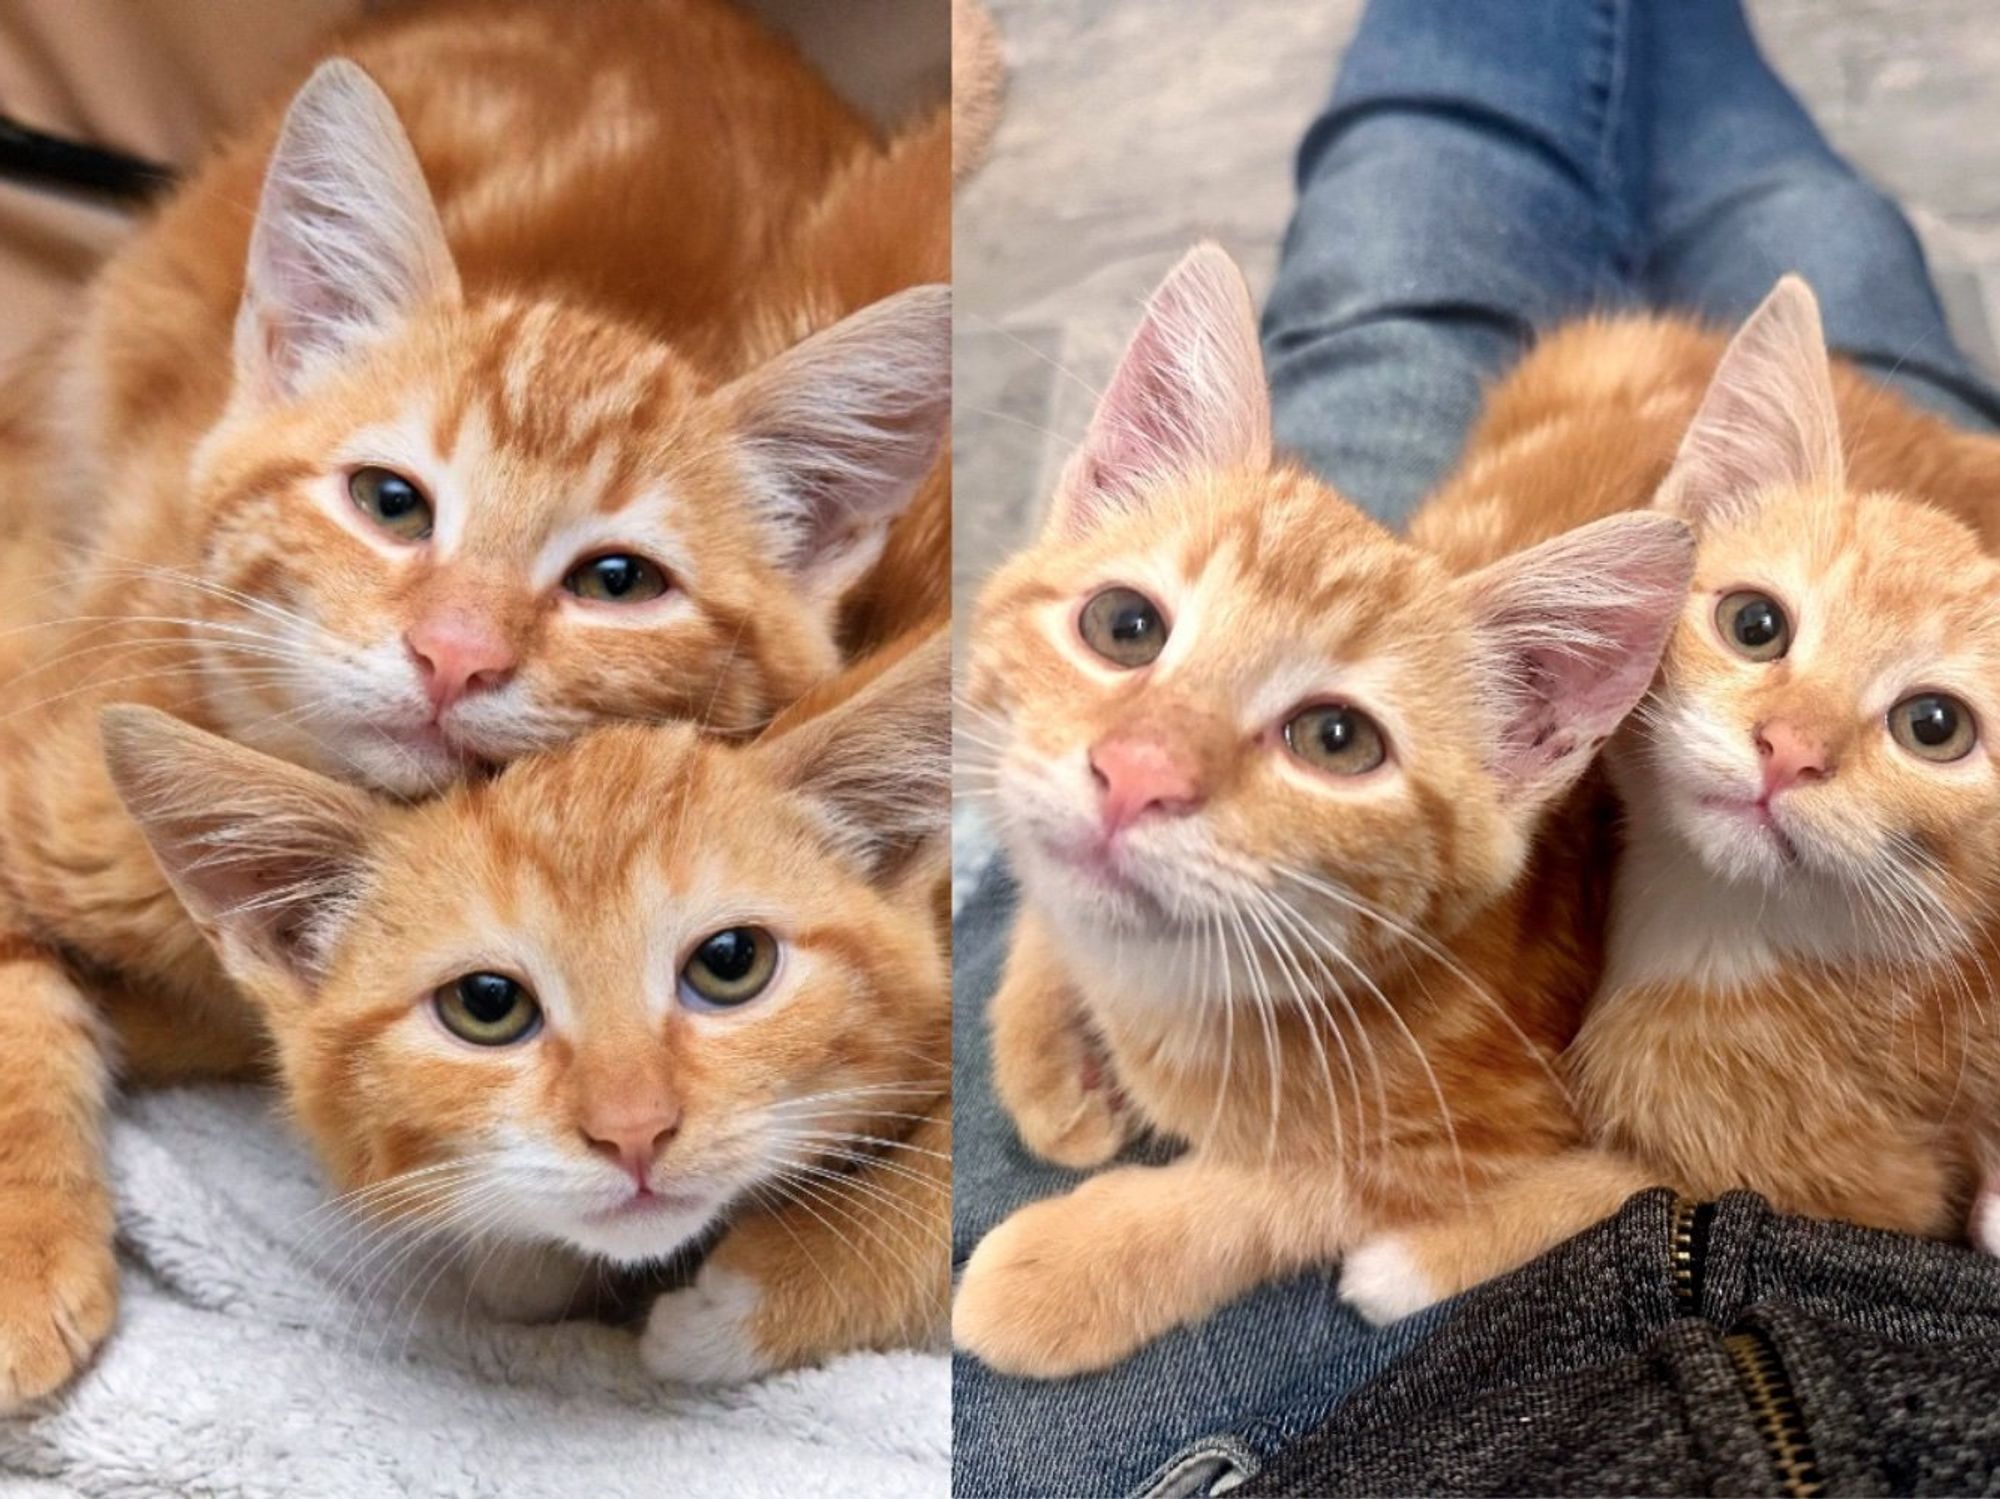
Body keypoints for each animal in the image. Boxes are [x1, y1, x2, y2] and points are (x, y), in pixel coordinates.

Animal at [948, 249, 1688, 1383]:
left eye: (1335, 740)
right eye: (1123, 625)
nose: (1136, 772)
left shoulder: (1489, 1119)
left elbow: (1291, 1189)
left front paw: (1066, 1267)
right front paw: (1048, 1056)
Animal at [1336, 281, 2000, 1327]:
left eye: (1935, 724)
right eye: (1755, 623)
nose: (1791, 749)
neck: (1716, 923)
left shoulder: (1884, 1185)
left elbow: (1639, 1190)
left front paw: (1415, 1257)